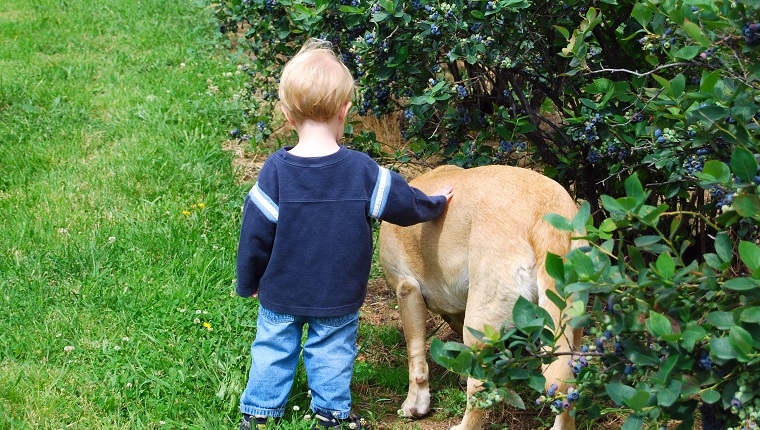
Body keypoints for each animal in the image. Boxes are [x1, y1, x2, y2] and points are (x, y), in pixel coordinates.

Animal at [380, 165, 580, 430]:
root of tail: (544, 213)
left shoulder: (407, 290)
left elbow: (415, 357)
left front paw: (415, 403)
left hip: (479, 328)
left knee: (479, 394)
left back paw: (463, 425)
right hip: (570, 326)